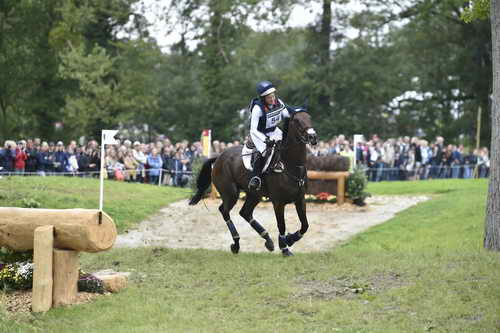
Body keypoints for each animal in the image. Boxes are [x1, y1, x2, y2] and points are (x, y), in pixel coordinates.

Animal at [188, 107, 316, 255]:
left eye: (309, 118)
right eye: (297, 121)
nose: (313, 137)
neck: (290, 164)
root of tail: (219, 156)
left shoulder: (300, 199)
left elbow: (305, 225)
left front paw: (290, 239)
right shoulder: (278, 202)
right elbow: (281, 225)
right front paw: (284, 247)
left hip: (254, 194)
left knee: (245, 212)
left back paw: (267, 240)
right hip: (231, 193)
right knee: (224, 211)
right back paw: (236, 244)